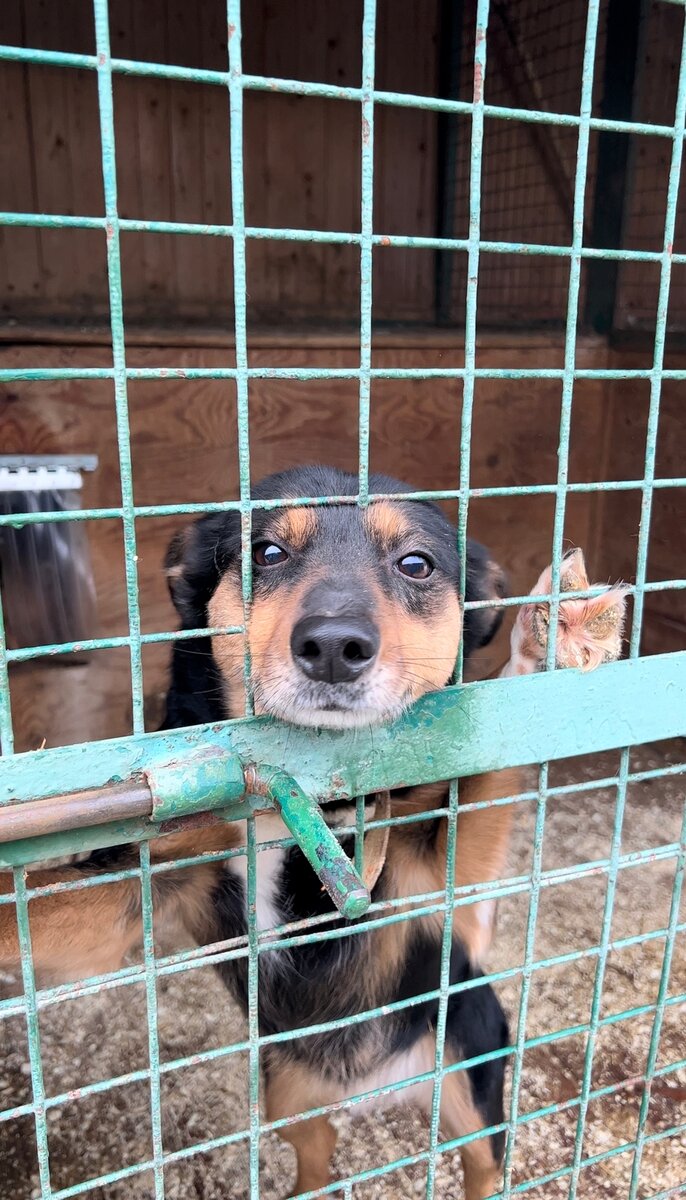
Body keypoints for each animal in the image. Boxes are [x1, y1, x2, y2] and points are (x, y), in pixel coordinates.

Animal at [0, 463, 628, 1195]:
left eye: (416, 564)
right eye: (267, 552)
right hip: (287, 1094)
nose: (333, 647)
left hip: (471, 1070)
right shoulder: (142, 892)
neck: (307, 794)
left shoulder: (441, 880)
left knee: (481, 1164)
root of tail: (377, 1090)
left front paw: (548, 644)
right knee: (317, 1156)